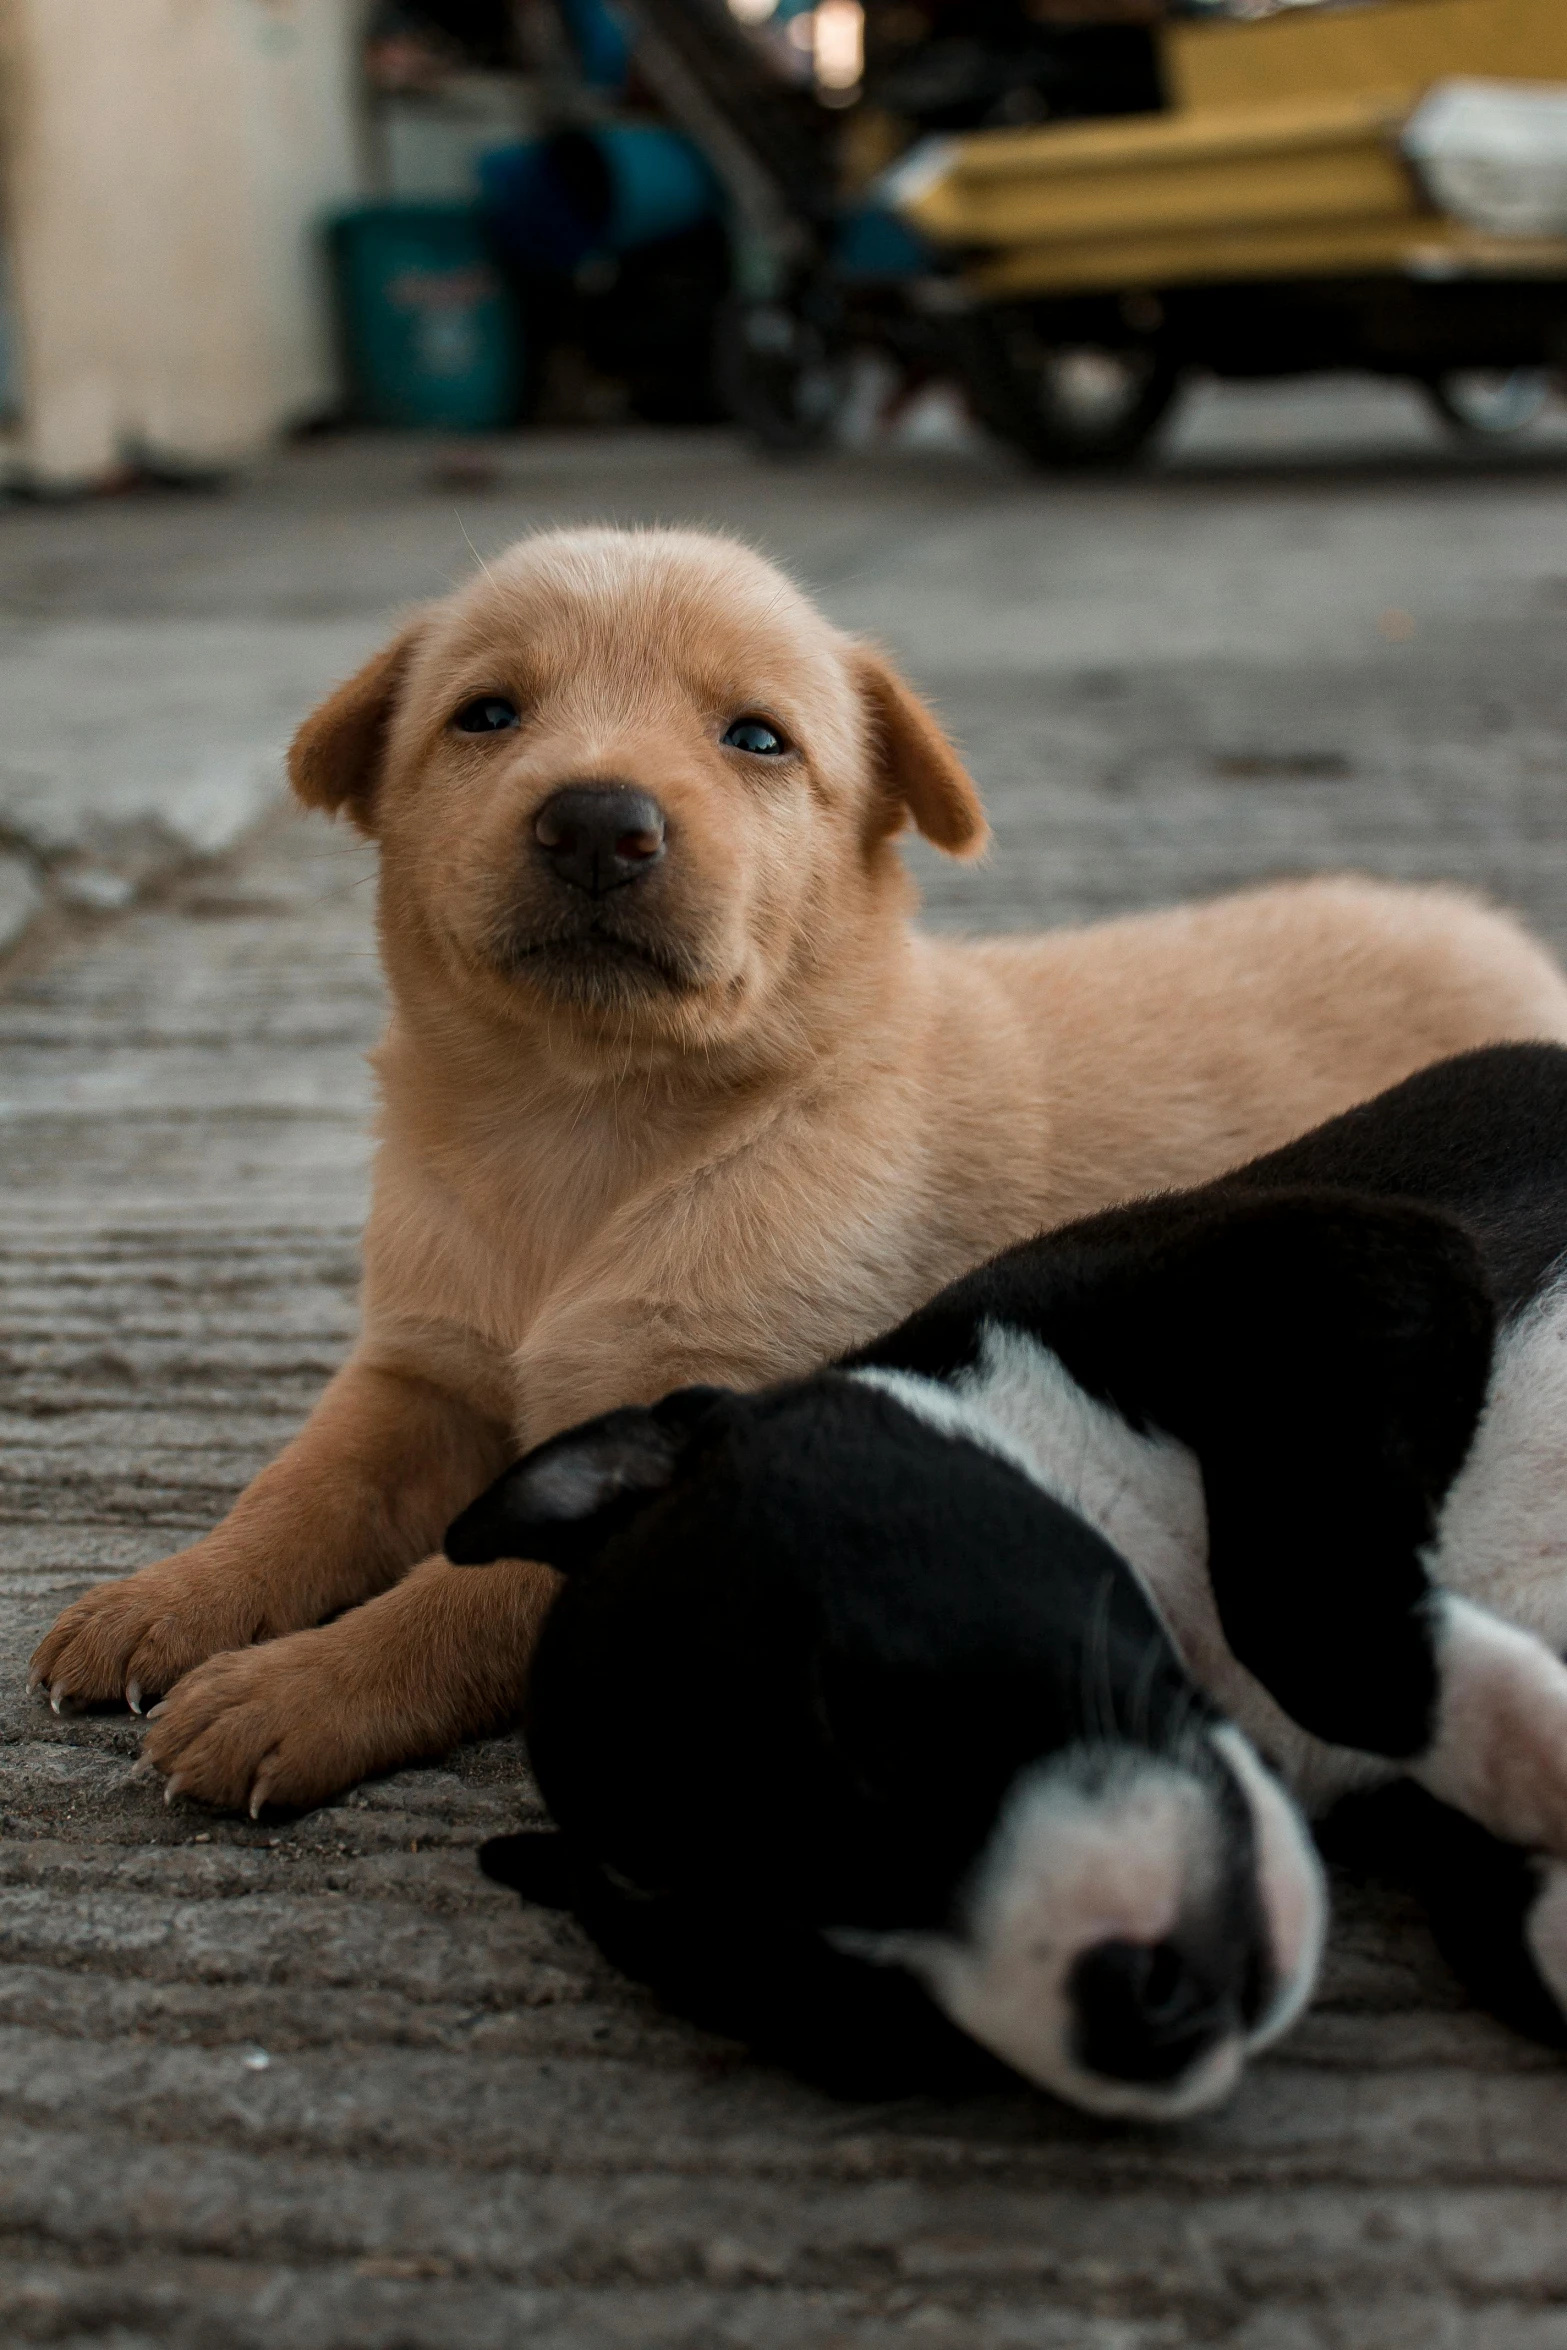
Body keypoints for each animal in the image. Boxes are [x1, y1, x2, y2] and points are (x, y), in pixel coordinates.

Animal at [27, 528, 1567, 1814]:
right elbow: (301, 1489)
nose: (597, 821)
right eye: (486, 714)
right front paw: (173, 1597)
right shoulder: (422, 1367)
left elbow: (446, 1599)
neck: (586, 1128)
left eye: (756, 737)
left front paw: (290, 1688)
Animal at [451, 1048, 1567, 2115]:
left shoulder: (1339, 1260)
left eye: (865, 1721)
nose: (1134, 2020)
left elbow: (1304, 1623)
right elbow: (1502, 1939)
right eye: (860, 2025)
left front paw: (1536, 1746)